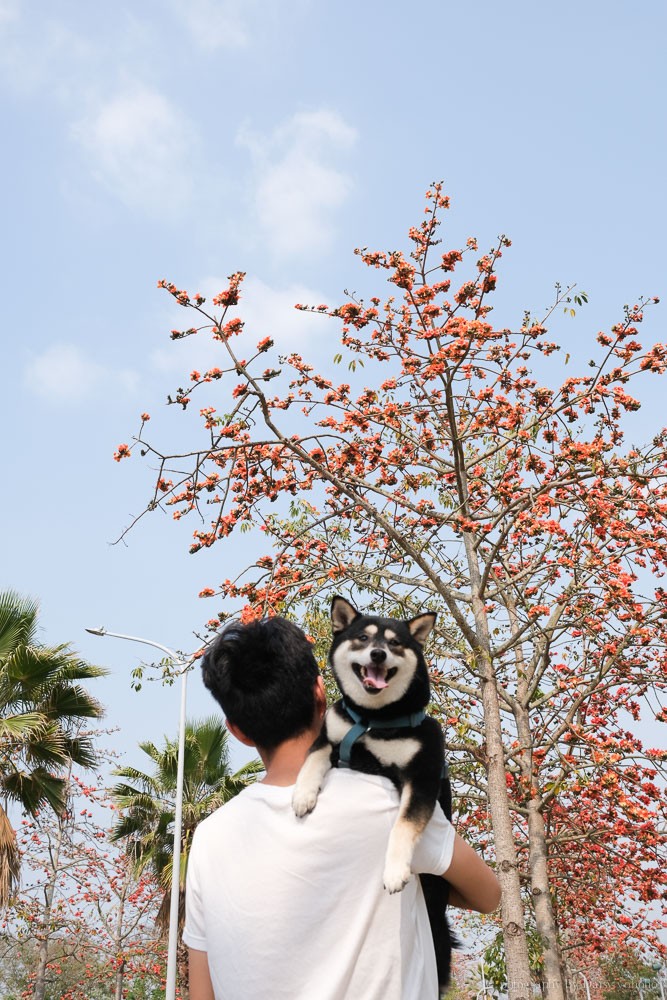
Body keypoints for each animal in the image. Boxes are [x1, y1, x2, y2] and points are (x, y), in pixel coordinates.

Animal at [294, 592, 456, 984]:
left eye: (396, 643)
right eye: (363, 638)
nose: (379, 654)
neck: (372, 722)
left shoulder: (421, 776)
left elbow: (403, 826)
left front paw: (394, 871)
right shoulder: (330, 736)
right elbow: (312, 759)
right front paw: (303, 795)